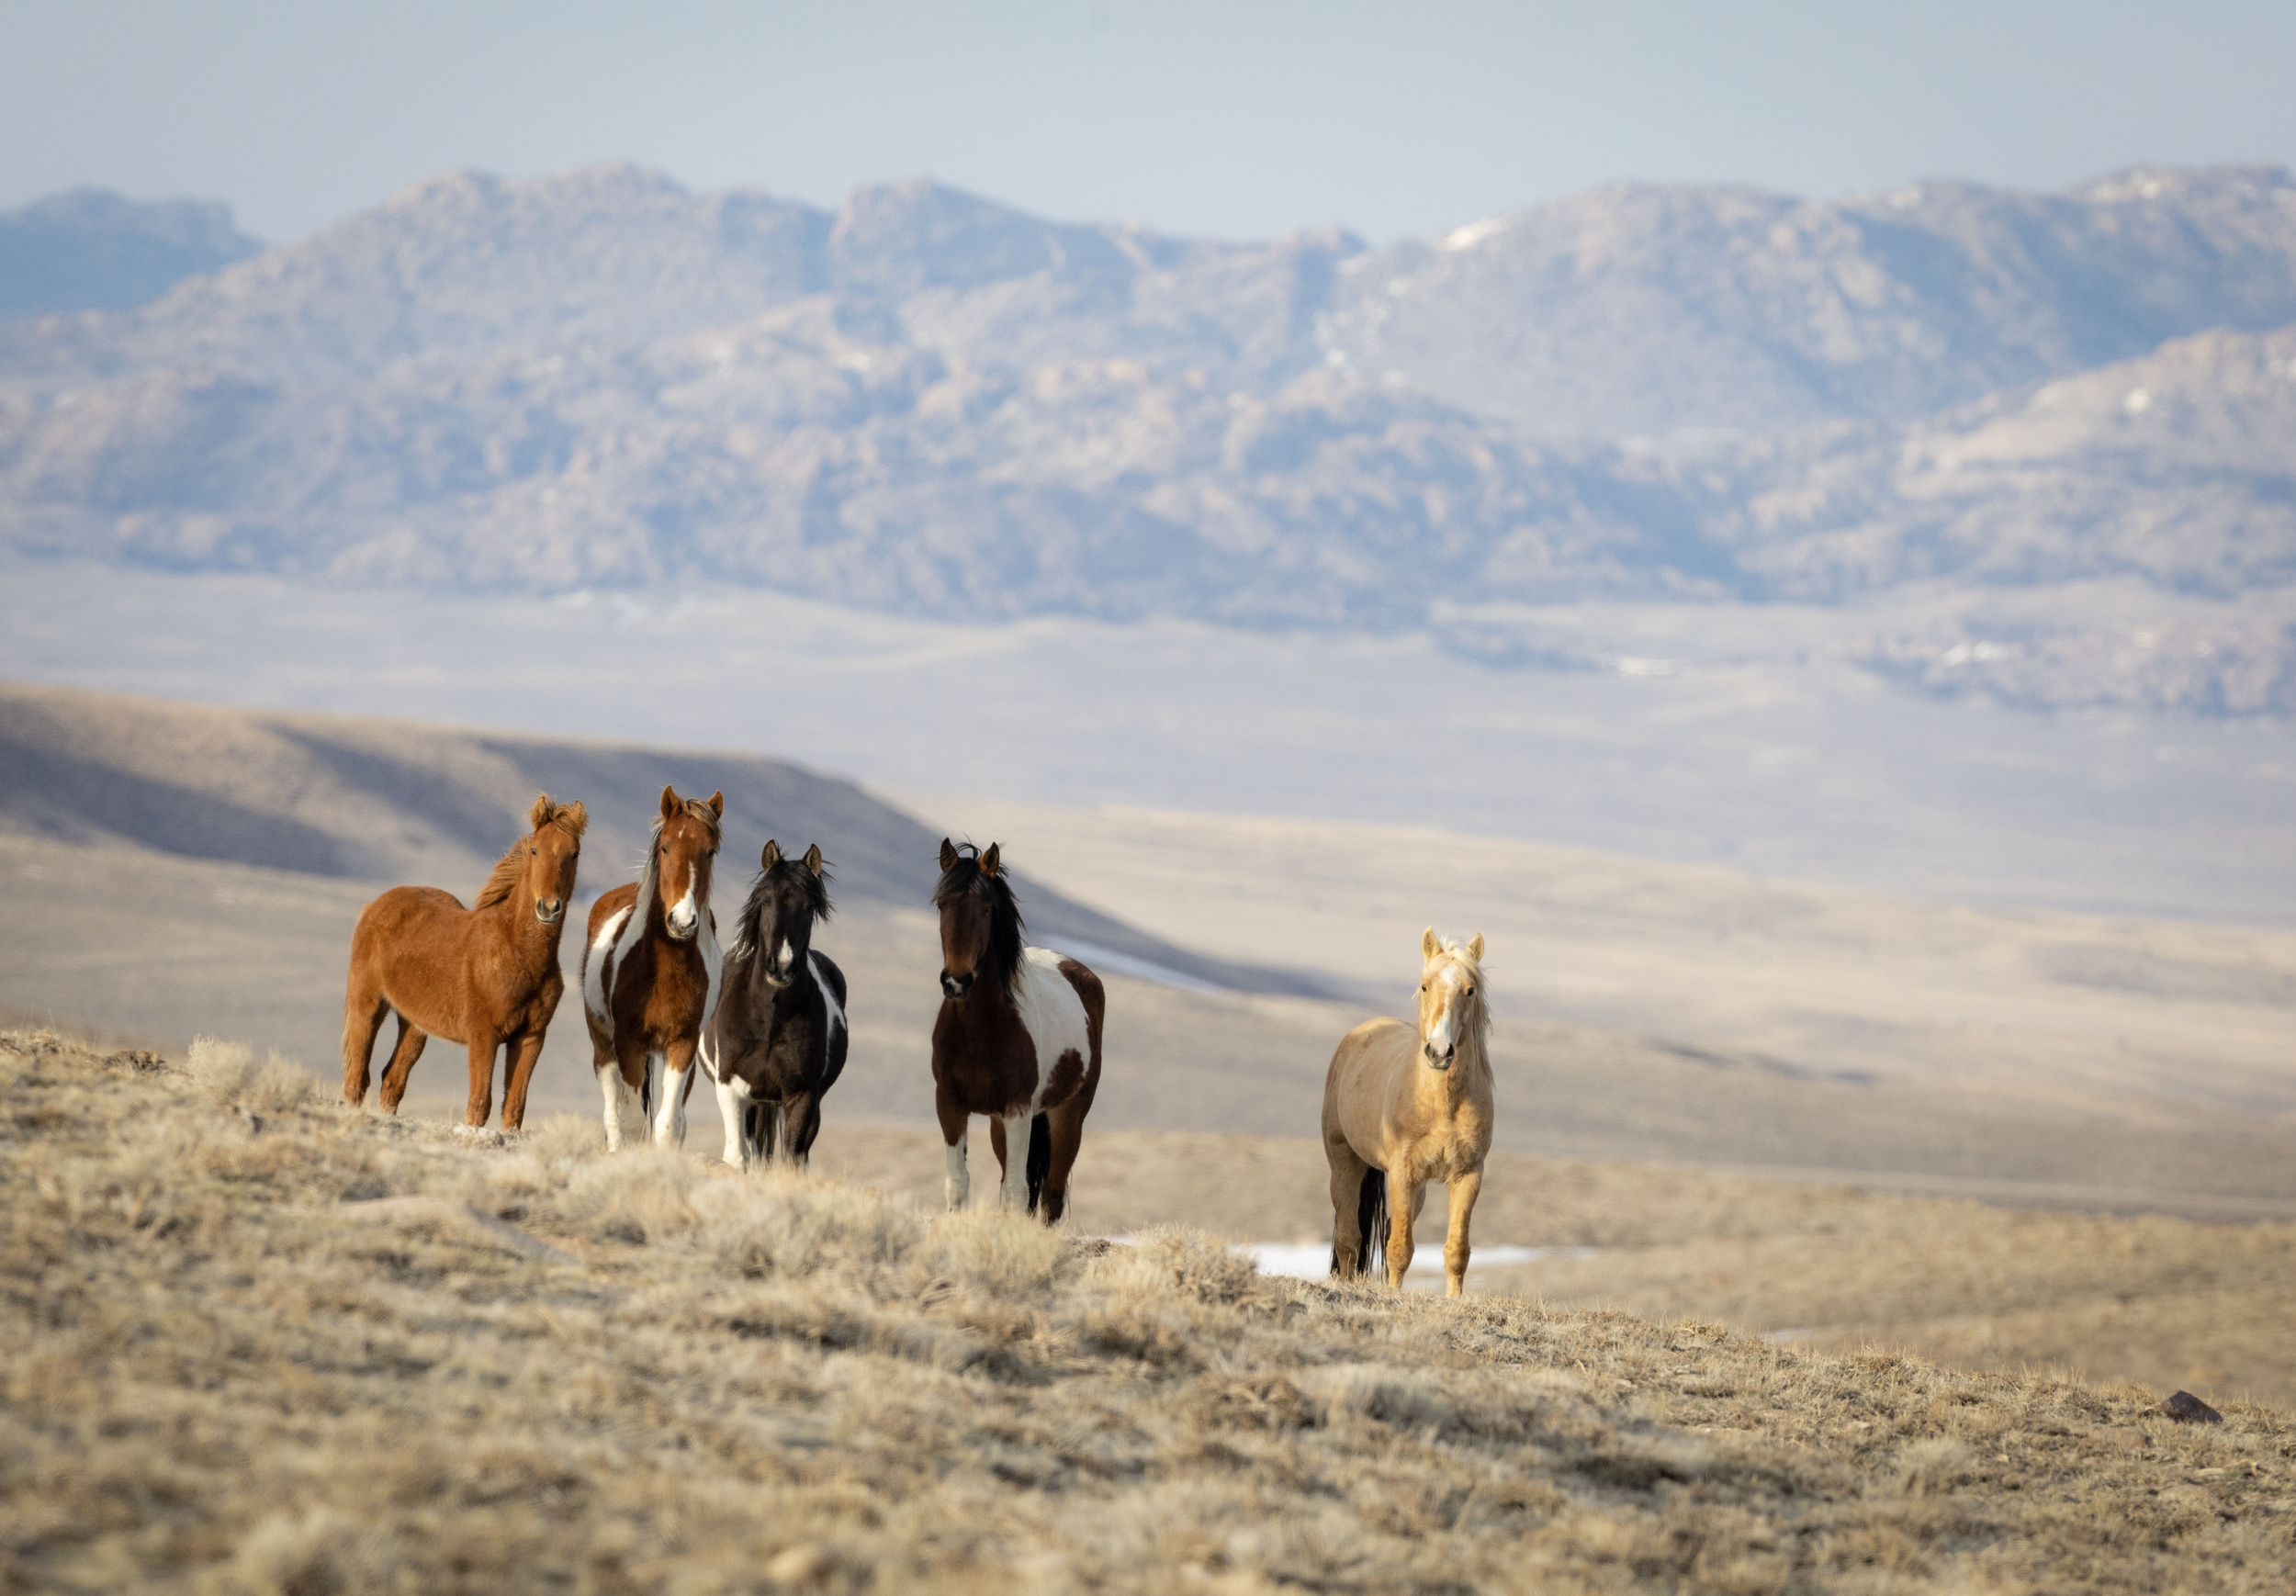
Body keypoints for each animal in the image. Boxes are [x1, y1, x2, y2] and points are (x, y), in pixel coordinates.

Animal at [341, 794, 589, 1130]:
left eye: (574, 854)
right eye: (535, 850)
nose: (548, 908)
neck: (516, 950)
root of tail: (374, 906)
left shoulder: (531, 1037)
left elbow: (514, 1108)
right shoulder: (484, 1035)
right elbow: (480, 1104)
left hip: (414, 1024)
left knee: (392, 1079)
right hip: (367, 1004)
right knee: (357, 1077)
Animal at [580, 785, 724, 1151]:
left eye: (710, 852)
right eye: (665, 846)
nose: (682, 921)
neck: (664, 970)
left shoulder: (682, 1045)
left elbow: (668, 1126)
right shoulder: (629, 1043)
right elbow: (630, 1122)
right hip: (602, 1045)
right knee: (612, 1113)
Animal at [700, 840, 849, 1170]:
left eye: (809, 907)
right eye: (765, 901)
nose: (781, 966)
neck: (768, 1019)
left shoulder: (802, 1095)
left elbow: (793, 1157)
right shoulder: (731, 1088)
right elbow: (737, 1157)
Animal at [930, 838, 1103, 1224]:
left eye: (986, 908)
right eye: (941, 905)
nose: (955, 982)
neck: (979, 1031)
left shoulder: (1018, 1110)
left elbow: (1015, 1191)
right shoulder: (950, 1104)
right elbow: (957, 1183)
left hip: (1068, 1116)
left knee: (1051, 1194)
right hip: (1001, 1125)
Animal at [1323, 928, 1493, 1297]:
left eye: (1470, 990)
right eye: (1425, 985)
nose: (1440, 1052)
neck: (1441, 1104)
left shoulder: (1468, 1175)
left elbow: (1456, 1251)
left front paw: (1454, 1302)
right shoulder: (1402, 1173)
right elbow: (1399, 1249)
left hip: (1420, 1188)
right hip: (1344, 1162)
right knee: (1349, 1239)